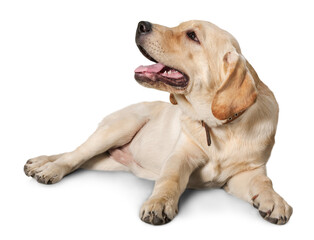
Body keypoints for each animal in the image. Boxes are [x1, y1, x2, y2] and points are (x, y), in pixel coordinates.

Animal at [23, 20, 292, 225]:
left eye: (192, 35)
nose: (141, 25)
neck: (221, 127)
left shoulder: (247, 173)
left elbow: (264, 182)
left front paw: (275, 201)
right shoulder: (181, 155)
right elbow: (170, 178)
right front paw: (159, 203)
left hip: (107, 161)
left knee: (81, 158)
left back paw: (40, 164)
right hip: (121, 126)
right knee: (74, 154)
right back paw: (47, 168)